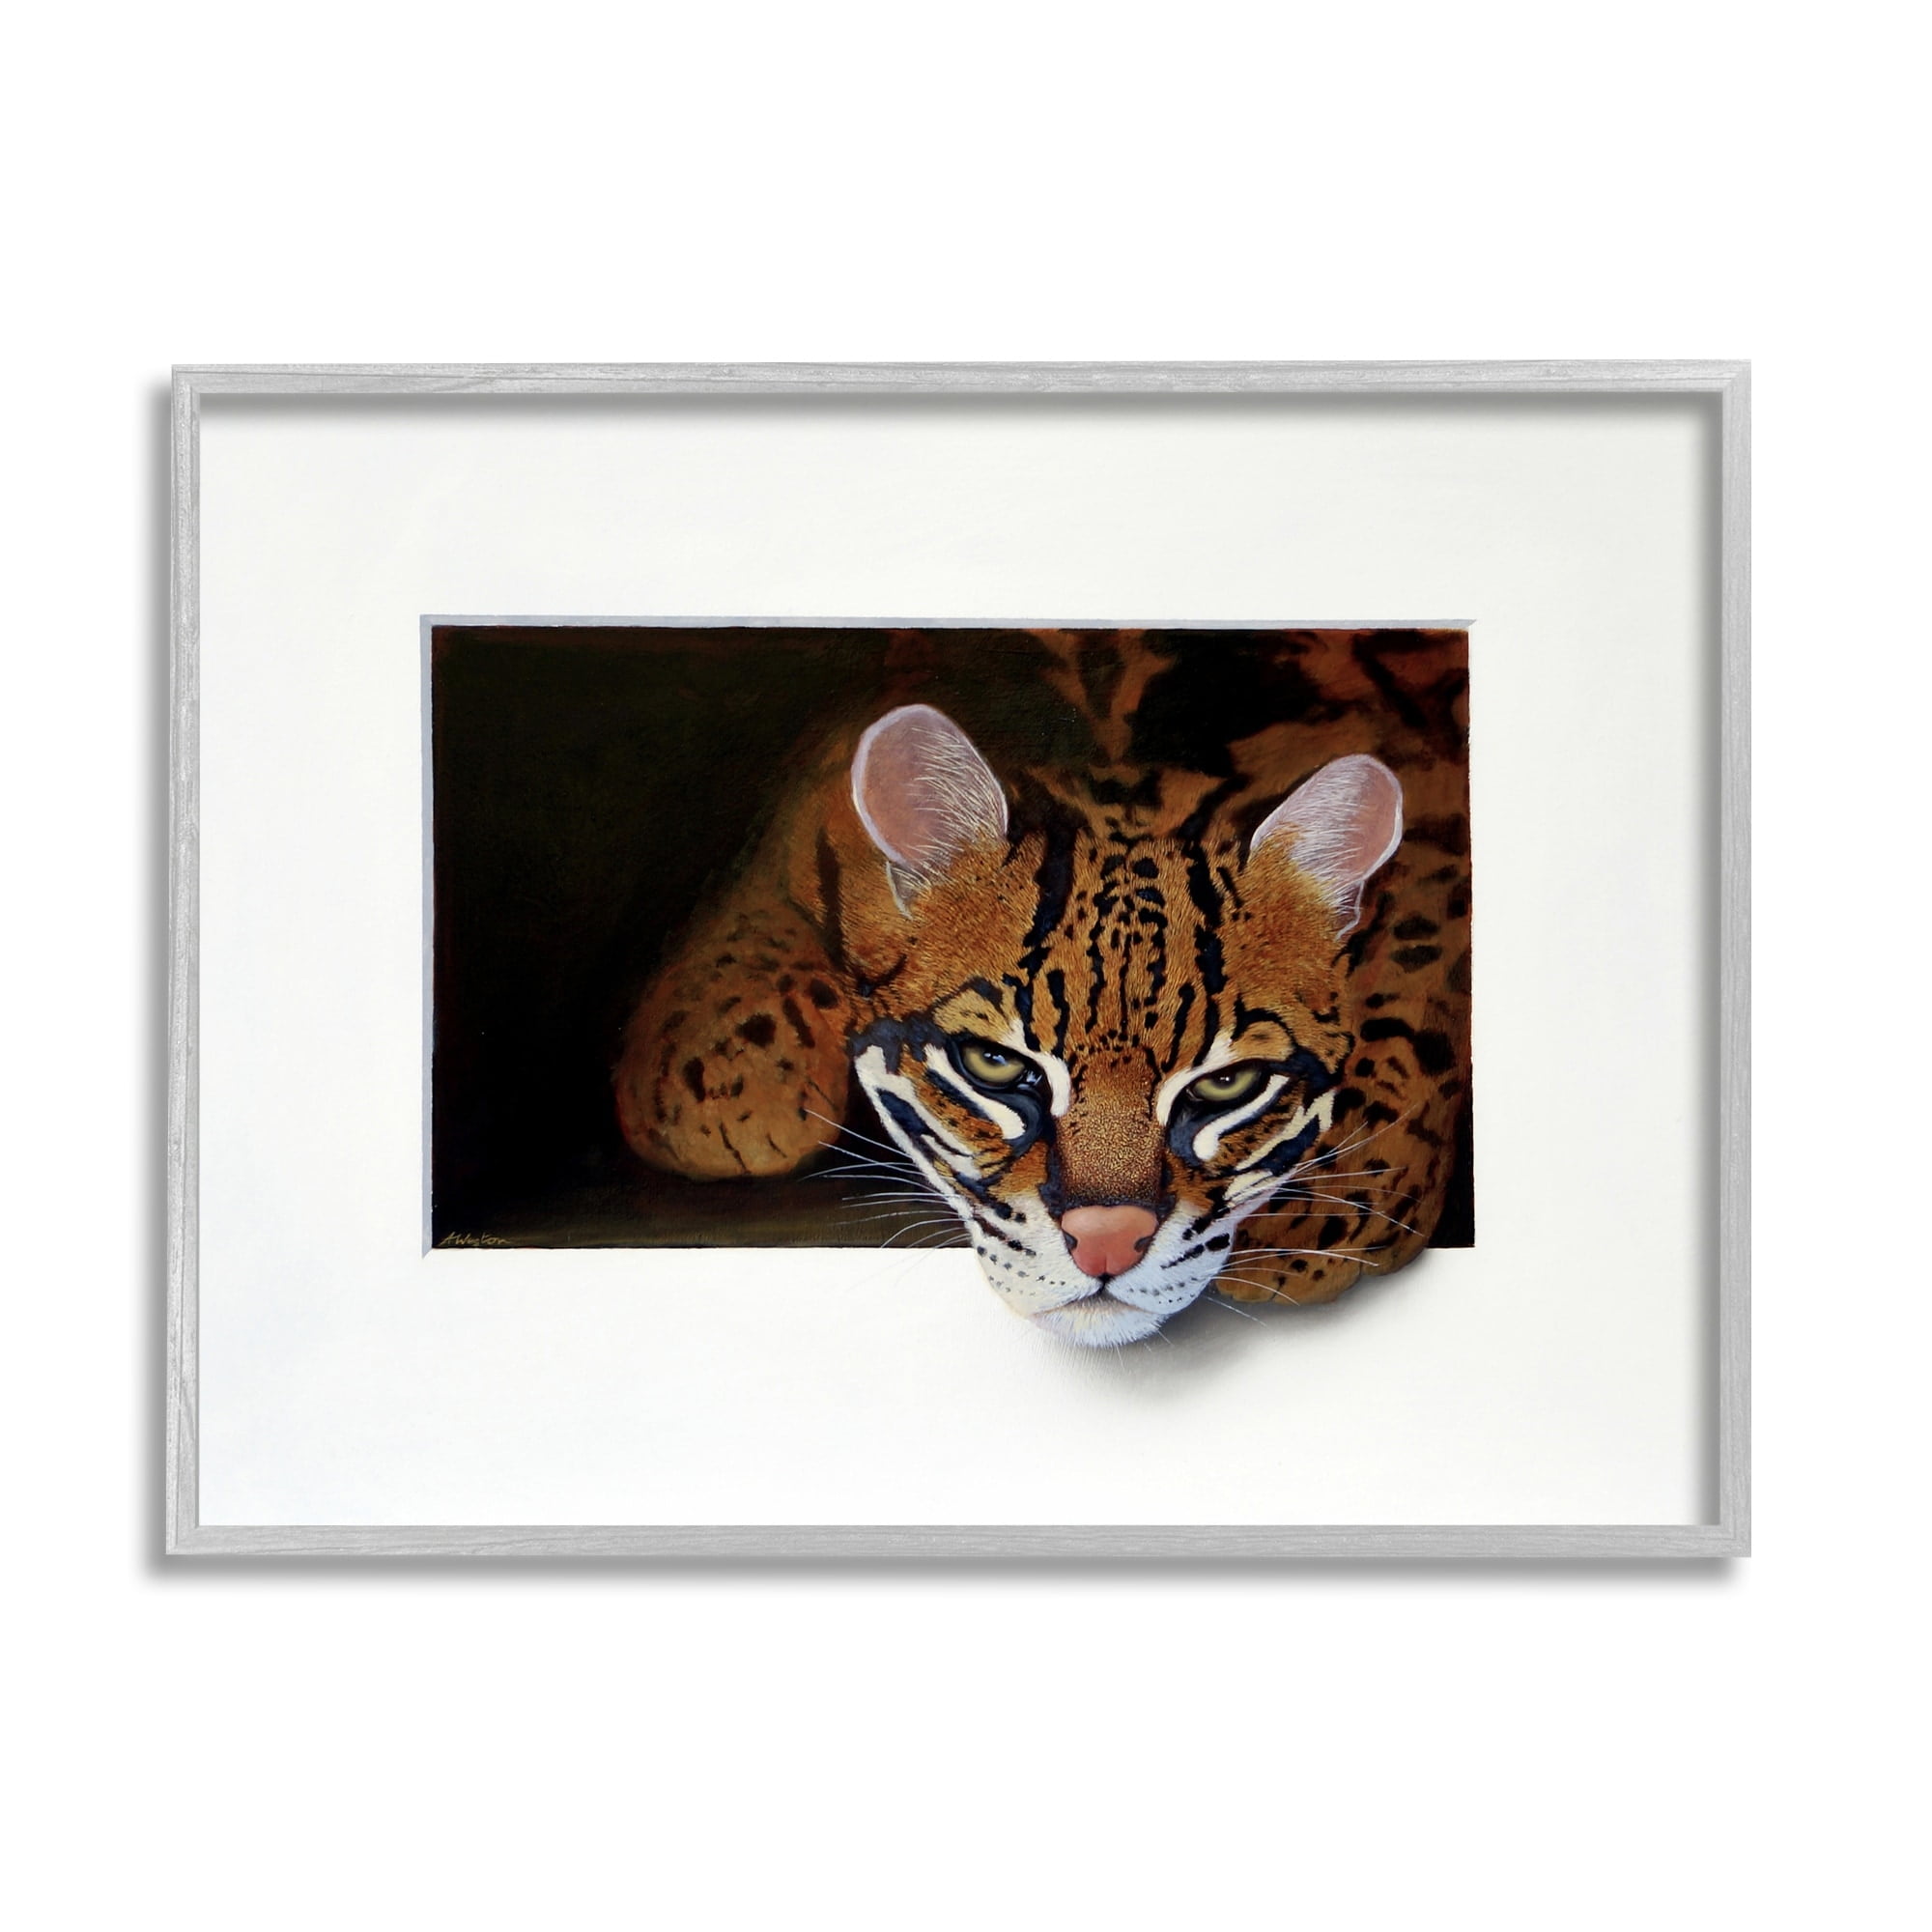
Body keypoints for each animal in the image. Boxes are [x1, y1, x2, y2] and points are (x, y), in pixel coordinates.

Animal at [614, 627, 1470, 1347]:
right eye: (994, 1066)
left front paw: (1327, 1199)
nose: (1107, 1245)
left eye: (1227, 1084)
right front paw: (720, 1063)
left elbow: (1424, 969)